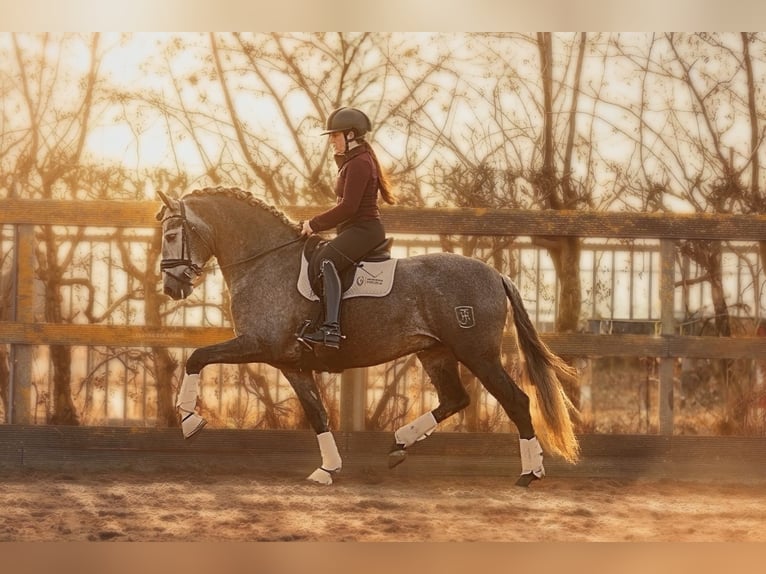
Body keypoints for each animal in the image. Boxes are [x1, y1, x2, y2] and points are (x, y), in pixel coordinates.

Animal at [156, 187, 580, 488]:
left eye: (173, 234)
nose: (171, 287)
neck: (266, 261)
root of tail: (495, 274)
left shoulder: (257, 344)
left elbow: (197, 357)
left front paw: (190, 420)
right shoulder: (290, 363)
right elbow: (318, 415)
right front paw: (327, 469)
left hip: (478, 354)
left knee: (516, 401)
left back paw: (529, 473)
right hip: (436, 353)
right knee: (455, 399)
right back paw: (400, 443)